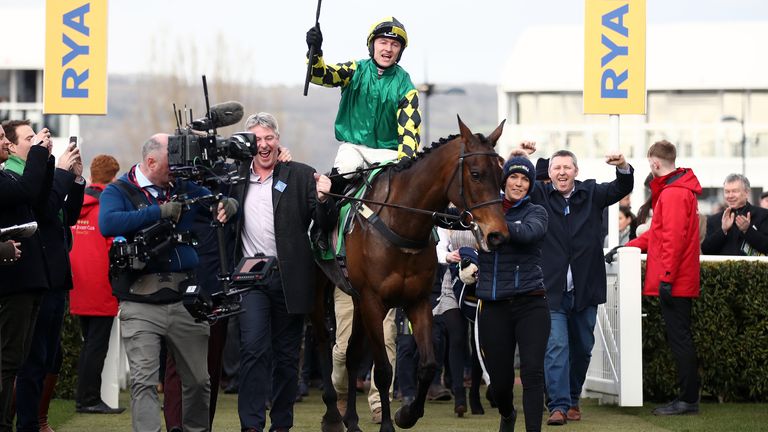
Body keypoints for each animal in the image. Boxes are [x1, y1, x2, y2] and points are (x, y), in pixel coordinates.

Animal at [312, 117, 510, 432]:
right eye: (476, 174)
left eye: (502, 176)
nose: (497, 235)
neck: (401, 223)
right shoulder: (373, 300)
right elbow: (383, 370)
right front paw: (388, 424)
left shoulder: (416, 300)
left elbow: (427, 364)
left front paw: (406, 414)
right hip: (317, 289)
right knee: (322, 340)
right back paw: (332, 415)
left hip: (356, 300)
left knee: (352, 354)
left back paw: (351, 420)